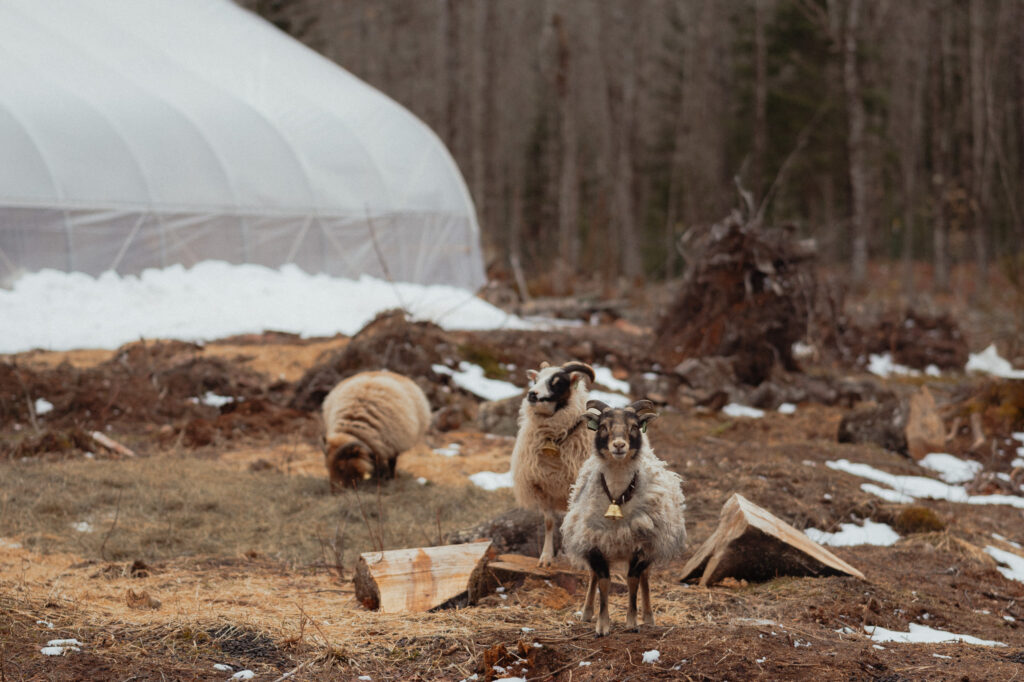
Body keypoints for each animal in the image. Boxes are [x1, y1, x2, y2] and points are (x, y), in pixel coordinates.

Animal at [512, 360, 598, 561]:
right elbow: (549, 522)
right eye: (535, 379)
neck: (554, 438)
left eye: (557, 382)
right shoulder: (541, 487)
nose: (532, 394)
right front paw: (546, 557)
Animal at [561, 395, 688, 634]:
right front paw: (602, 625)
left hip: (652, 545)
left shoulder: (642, 544)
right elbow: (603, 582)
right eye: (603, 426)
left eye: (634, 427)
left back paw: (648, 617)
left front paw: (632, 622)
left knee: (645, 576)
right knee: (592, 576)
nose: (619, 445)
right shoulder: (595, 543)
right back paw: (587, 613)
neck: (617, 498)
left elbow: (633, 580)